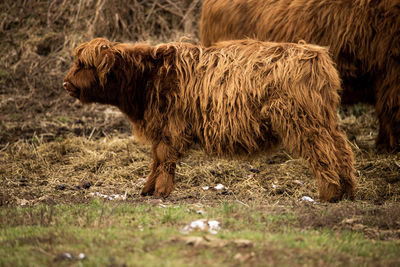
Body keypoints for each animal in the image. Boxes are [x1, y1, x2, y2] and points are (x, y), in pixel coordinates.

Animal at [63, 38, 356, 203]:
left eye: (84, 65)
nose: (65, 83)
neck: (147, 78)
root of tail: (316, 56)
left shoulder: (170, 129)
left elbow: (164, 159)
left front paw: (160, 192)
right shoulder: (161, 129)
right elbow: (156, 160)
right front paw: (147, 189)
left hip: (304, 121)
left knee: (324, 152)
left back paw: (329, 194)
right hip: (324, 119)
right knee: (342, 150)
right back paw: (347, 191)